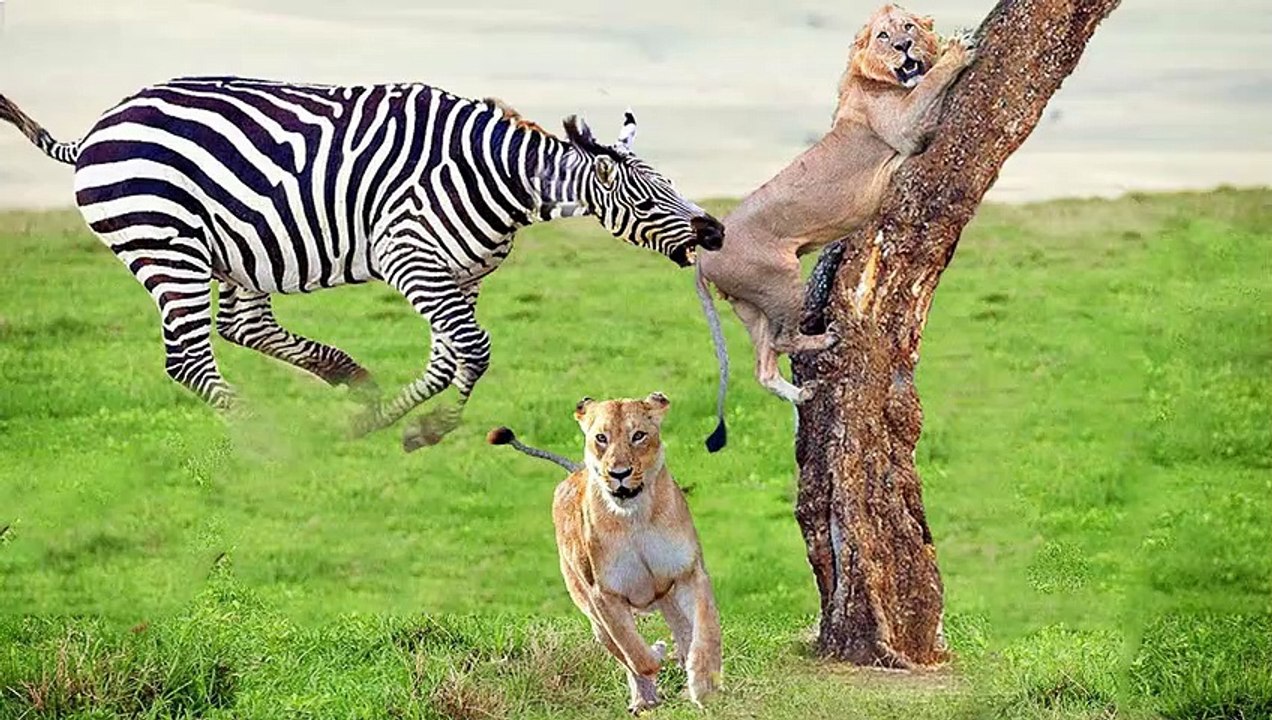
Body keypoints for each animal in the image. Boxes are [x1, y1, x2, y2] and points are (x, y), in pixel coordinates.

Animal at [0, 77, 725, 450]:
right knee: (189, 359)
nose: (715, 230)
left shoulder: (456, 273)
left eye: (669, 185)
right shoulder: (410, 258)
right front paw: (430, 430)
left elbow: (448, 359)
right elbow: (474, 351)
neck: (496, 179)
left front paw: (377, 421)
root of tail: (93, 132)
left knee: (242, 327)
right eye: (644, 198)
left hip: (236, 250)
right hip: (165, 243)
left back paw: (349, 377)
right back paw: (265, 438)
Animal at [487, 392, 722, 713]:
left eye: (638, 436)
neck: (634, 518)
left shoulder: (689, 573)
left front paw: (704, 684)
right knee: (625, 656)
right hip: (593, 617)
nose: (619, 474)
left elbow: (706, 629)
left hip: (667, 596)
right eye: (601, 438)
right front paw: (657, 653)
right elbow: (637, 655)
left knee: (683, 628)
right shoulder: (604, 596)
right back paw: (644, 700)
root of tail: (576, 470)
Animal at [695, 4, 976, 451]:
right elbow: (929, 86)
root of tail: (702, 258)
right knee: (784, 341)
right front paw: (958, 49)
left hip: (750, 304)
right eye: (883, 36)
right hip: (780, 279)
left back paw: (800, 395)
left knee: (764, 366)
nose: (904, 45)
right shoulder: (904, 130)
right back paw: (825, 340)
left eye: (908, 27)